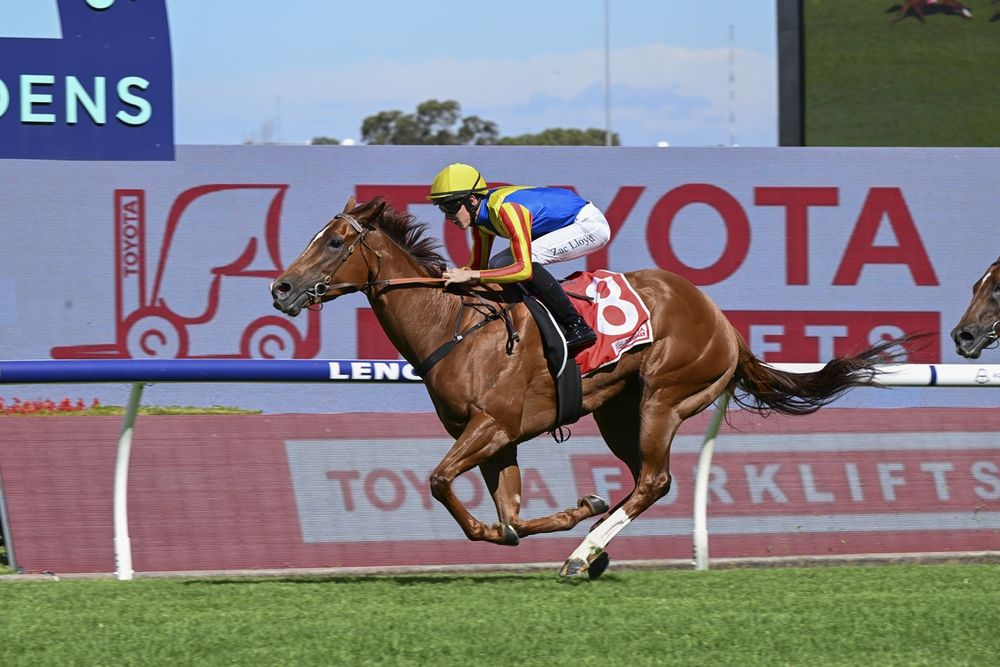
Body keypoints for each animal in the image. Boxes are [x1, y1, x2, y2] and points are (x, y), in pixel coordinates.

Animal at [271, 197, 910, 578]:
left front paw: (548, 526)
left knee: (654, 481)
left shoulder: (491, 426)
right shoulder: (498, 440)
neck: (454, 326)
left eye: (334, 242)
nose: (280, 289)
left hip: (663, 398)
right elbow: (509, 518)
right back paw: (595, 546)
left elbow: (440, 483)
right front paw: (571, 510)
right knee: (644, 481)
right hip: (617, 413)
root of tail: (723, 322)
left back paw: (582, 557)